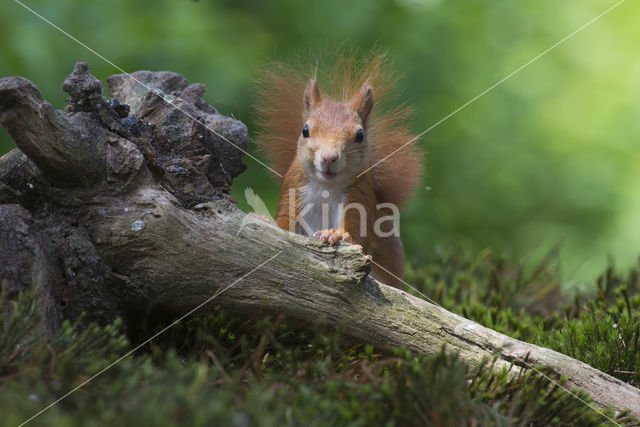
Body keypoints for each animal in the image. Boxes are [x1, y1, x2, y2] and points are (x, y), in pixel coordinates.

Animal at [252, 51, 422, 290]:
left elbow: (357, 236)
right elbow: (284, 227)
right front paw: (265, 220)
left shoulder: (360, 196)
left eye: (359, 135)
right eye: (305, 130)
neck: (326, 186)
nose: (329, 158)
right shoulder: (294, 189)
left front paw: (336, 235)